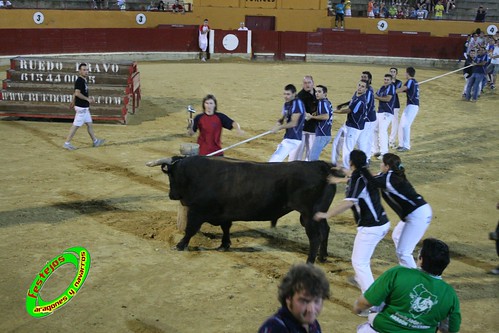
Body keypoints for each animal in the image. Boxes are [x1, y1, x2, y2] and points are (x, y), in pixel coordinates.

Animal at [154, 155, 340, 262]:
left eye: (171, 175)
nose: (172, 195)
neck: (196, 174)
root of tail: (320, 165)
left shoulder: (197, 211)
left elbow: (190, 229)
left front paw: (180, 245)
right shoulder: (224, 214)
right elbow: (226, 228)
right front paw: (224, 245)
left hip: (308, 215)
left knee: (315, 237)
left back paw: (310, 261)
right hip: (319, 214)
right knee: (325, 230)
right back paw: (322, 257)